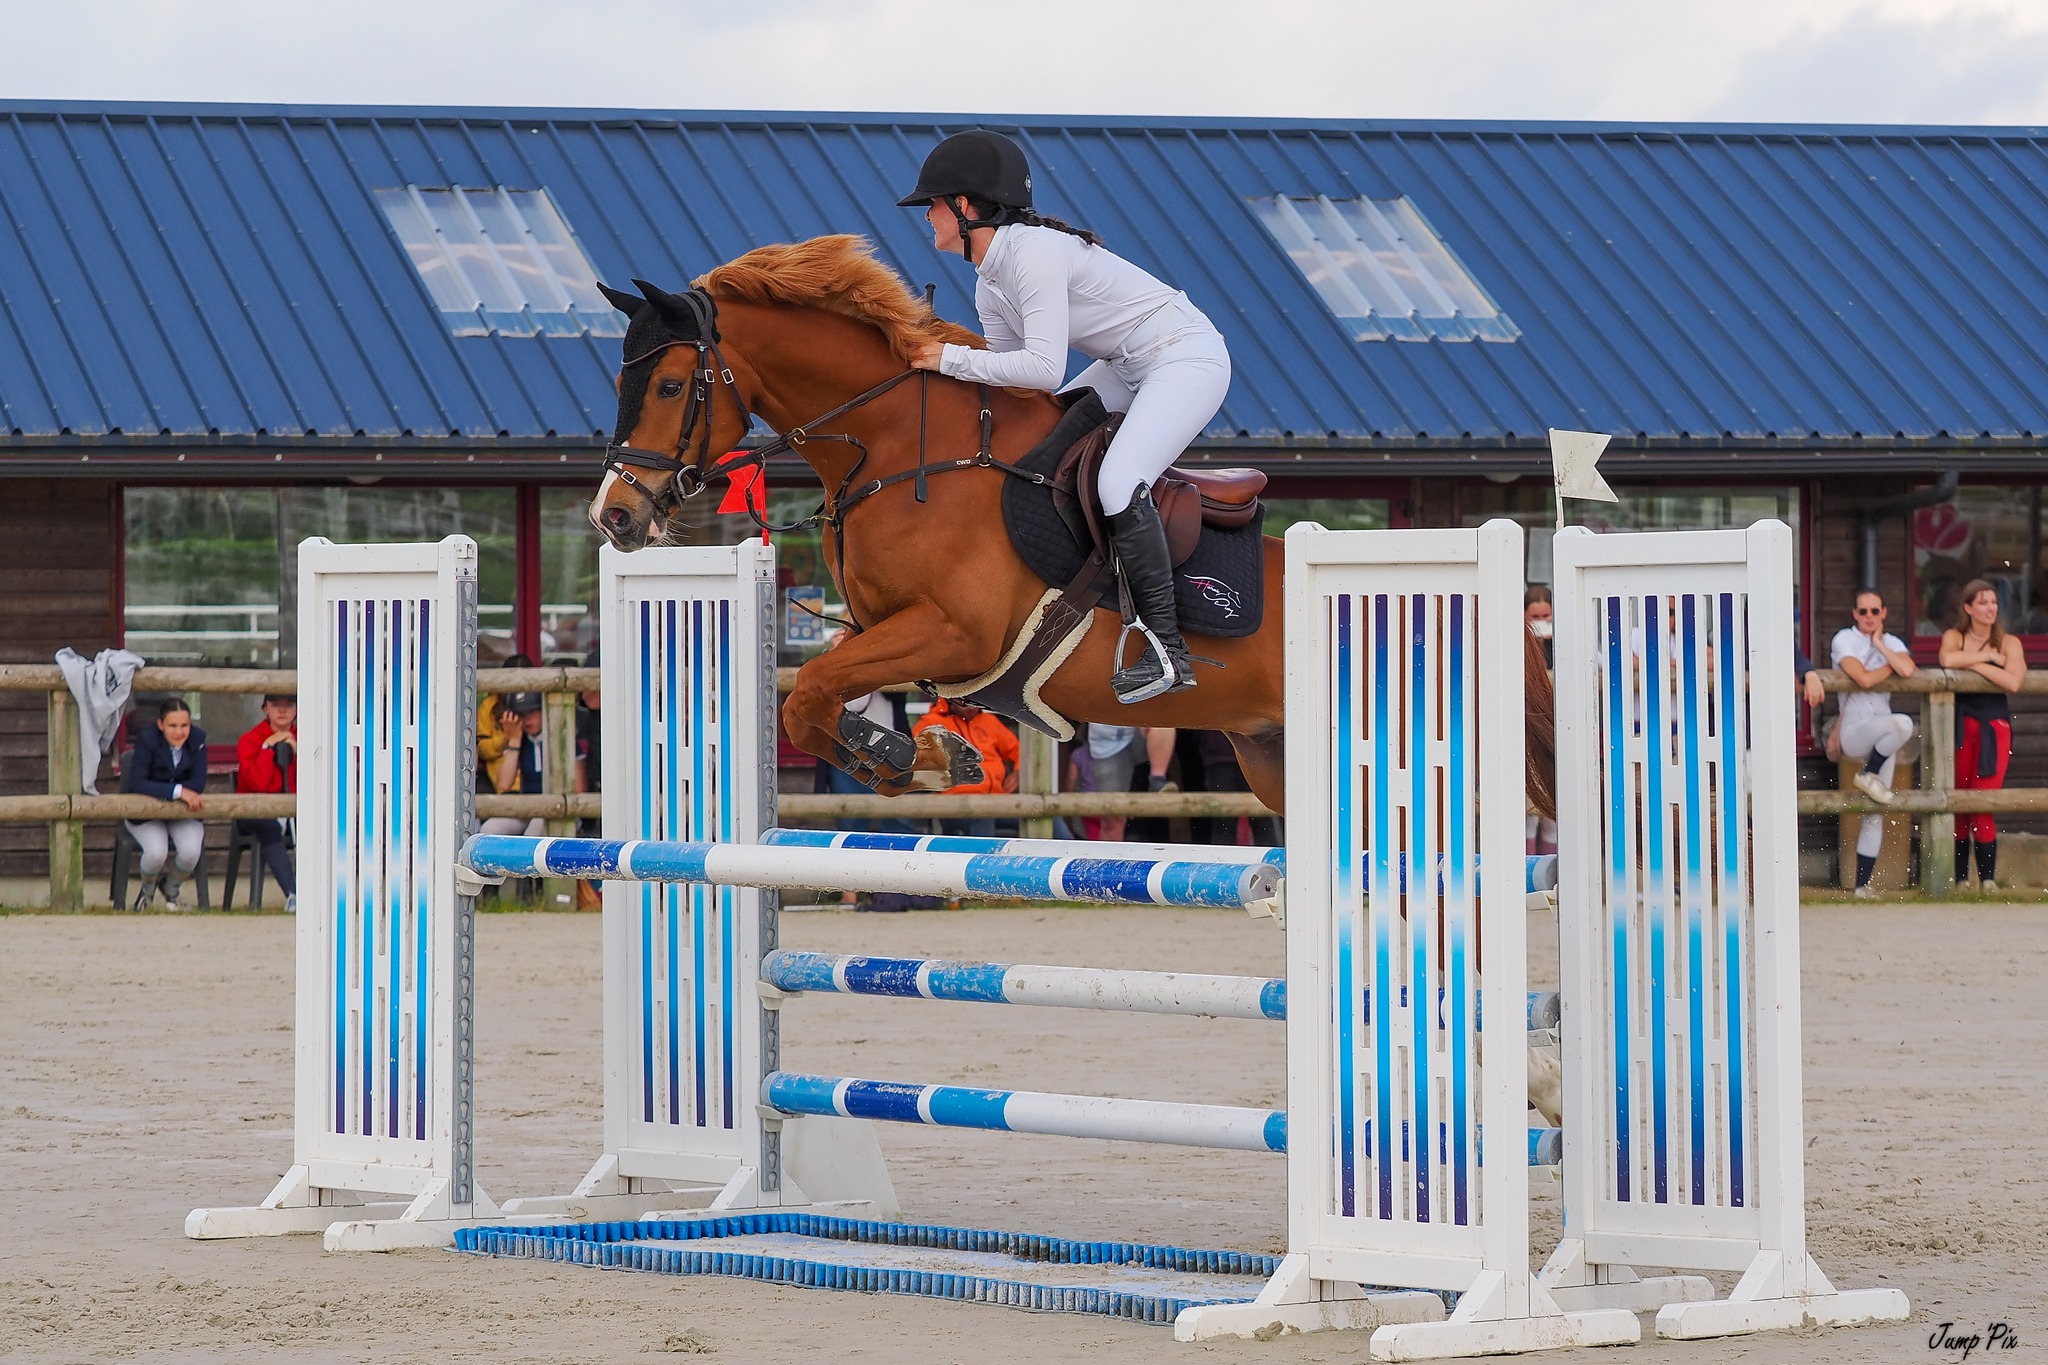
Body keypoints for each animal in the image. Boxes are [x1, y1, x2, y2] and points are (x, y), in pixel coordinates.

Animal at [593, 233, 1548, 818]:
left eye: (671, 386)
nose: (615, 514)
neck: (901, 450)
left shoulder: (956, 632)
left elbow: (814, 692)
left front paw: (909, 756)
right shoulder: (888, 633)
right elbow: (814, 700)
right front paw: (925, 757)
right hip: (1279, 755)